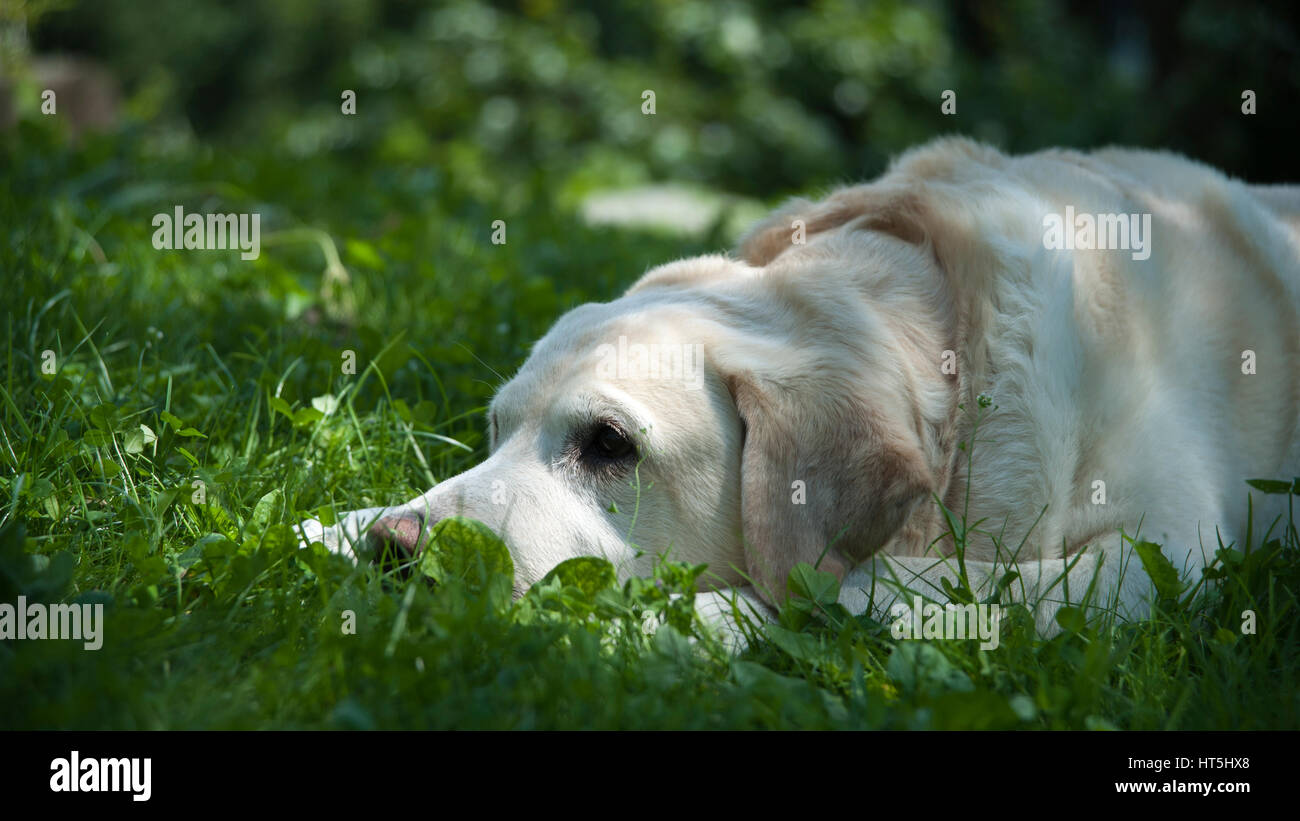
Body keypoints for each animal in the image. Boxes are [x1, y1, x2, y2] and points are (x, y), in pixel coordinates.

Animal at [297, 139, 1300, 641]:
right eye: (495, 428)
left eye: (609, 445)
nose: (396, 552)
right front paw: (340, 524)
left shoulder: (1164, 554)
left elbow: (882, 583)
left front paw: (695, 618)